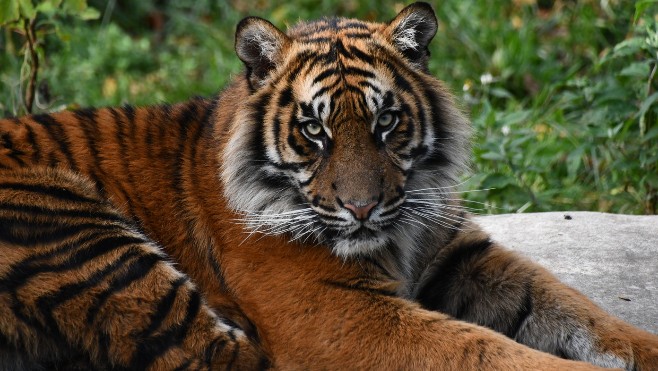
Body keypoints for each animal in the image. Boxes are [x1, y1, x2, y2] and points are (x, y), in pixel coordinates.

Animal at [0, 1, 652, 370]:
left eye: (386, 121)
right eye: (313, 130)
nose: (362, 209)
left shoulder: (459, 255)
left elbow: (580, 311)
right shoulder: (337, 313)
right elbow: (483, 349)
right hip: (80, 232)